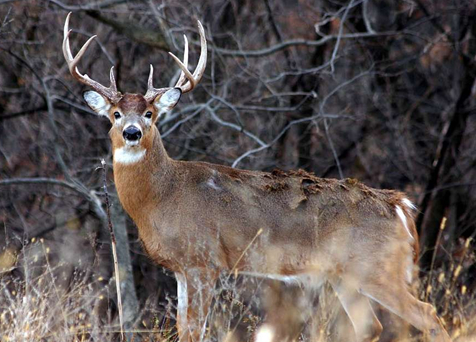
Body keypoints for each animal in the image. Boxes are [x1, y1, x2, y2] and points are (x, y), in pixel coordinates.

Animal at [62, 12, 450, 342]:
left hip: (376, 267)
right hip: (345, 274)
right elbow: (183, 327)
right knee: (370, 327)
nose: (131, 132)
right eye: (115, 114)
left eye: (149, 113)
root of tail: (401, 206)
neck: (162, 196)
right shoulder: (182, 268)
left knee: (429, 314)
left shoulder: (205, 260)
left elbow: (195, 330)